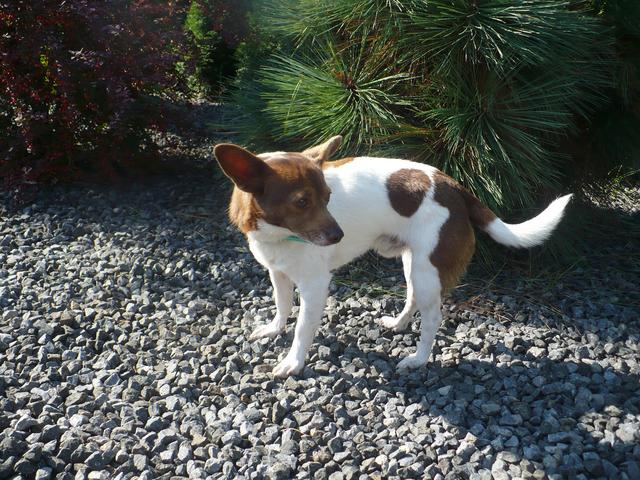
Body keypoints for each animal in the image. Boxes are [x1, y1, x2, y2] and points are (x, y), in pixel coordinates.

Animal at [214, 136, 572, 377]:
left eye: (328, 197)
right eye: (302, 202)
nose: (338, 235)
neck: (279, 236)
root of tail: (454, 186)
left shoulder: (315, 286)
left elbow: (303, 328)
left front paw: (293, 361)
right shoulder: (278, 273)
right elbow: (282, 305)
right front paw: (274, 329)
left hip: (428, 272)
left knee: (433, 318)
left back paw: (417, 359)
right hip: (413, 263)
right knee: (412, 296)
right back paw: (398, 324)